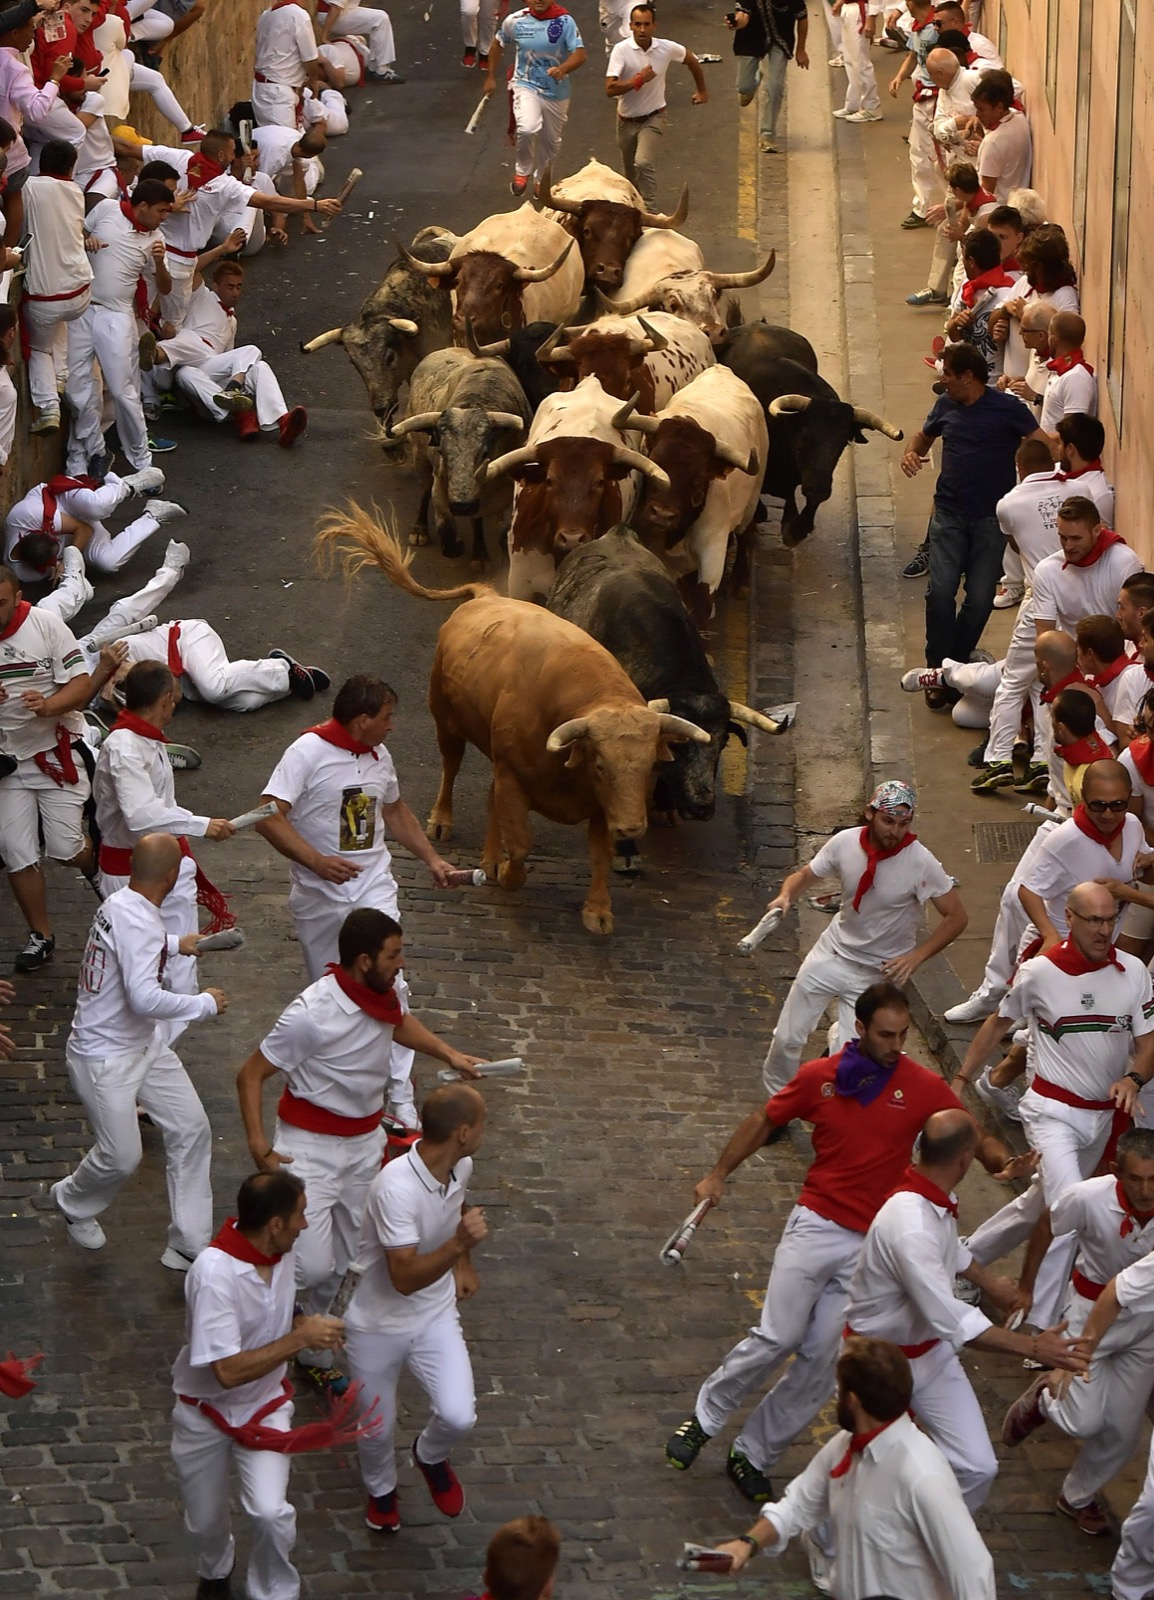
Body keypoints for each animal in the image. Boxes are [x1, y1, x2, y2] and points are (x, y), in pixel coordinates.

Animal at [315, 502, 710, 934]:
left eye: (650, 764)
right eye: (601, 765)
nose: (632, 827)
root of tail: (485, 596)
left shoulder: (595, 802)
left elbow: (599, 854)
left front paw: (598, 910)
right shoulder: (516, 779)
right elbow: (520, 844)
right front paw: (507, 874)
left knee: (489, 800)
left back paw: (488, 857)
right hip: (447, 723)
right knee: (451, 768)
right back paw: (443, 822)